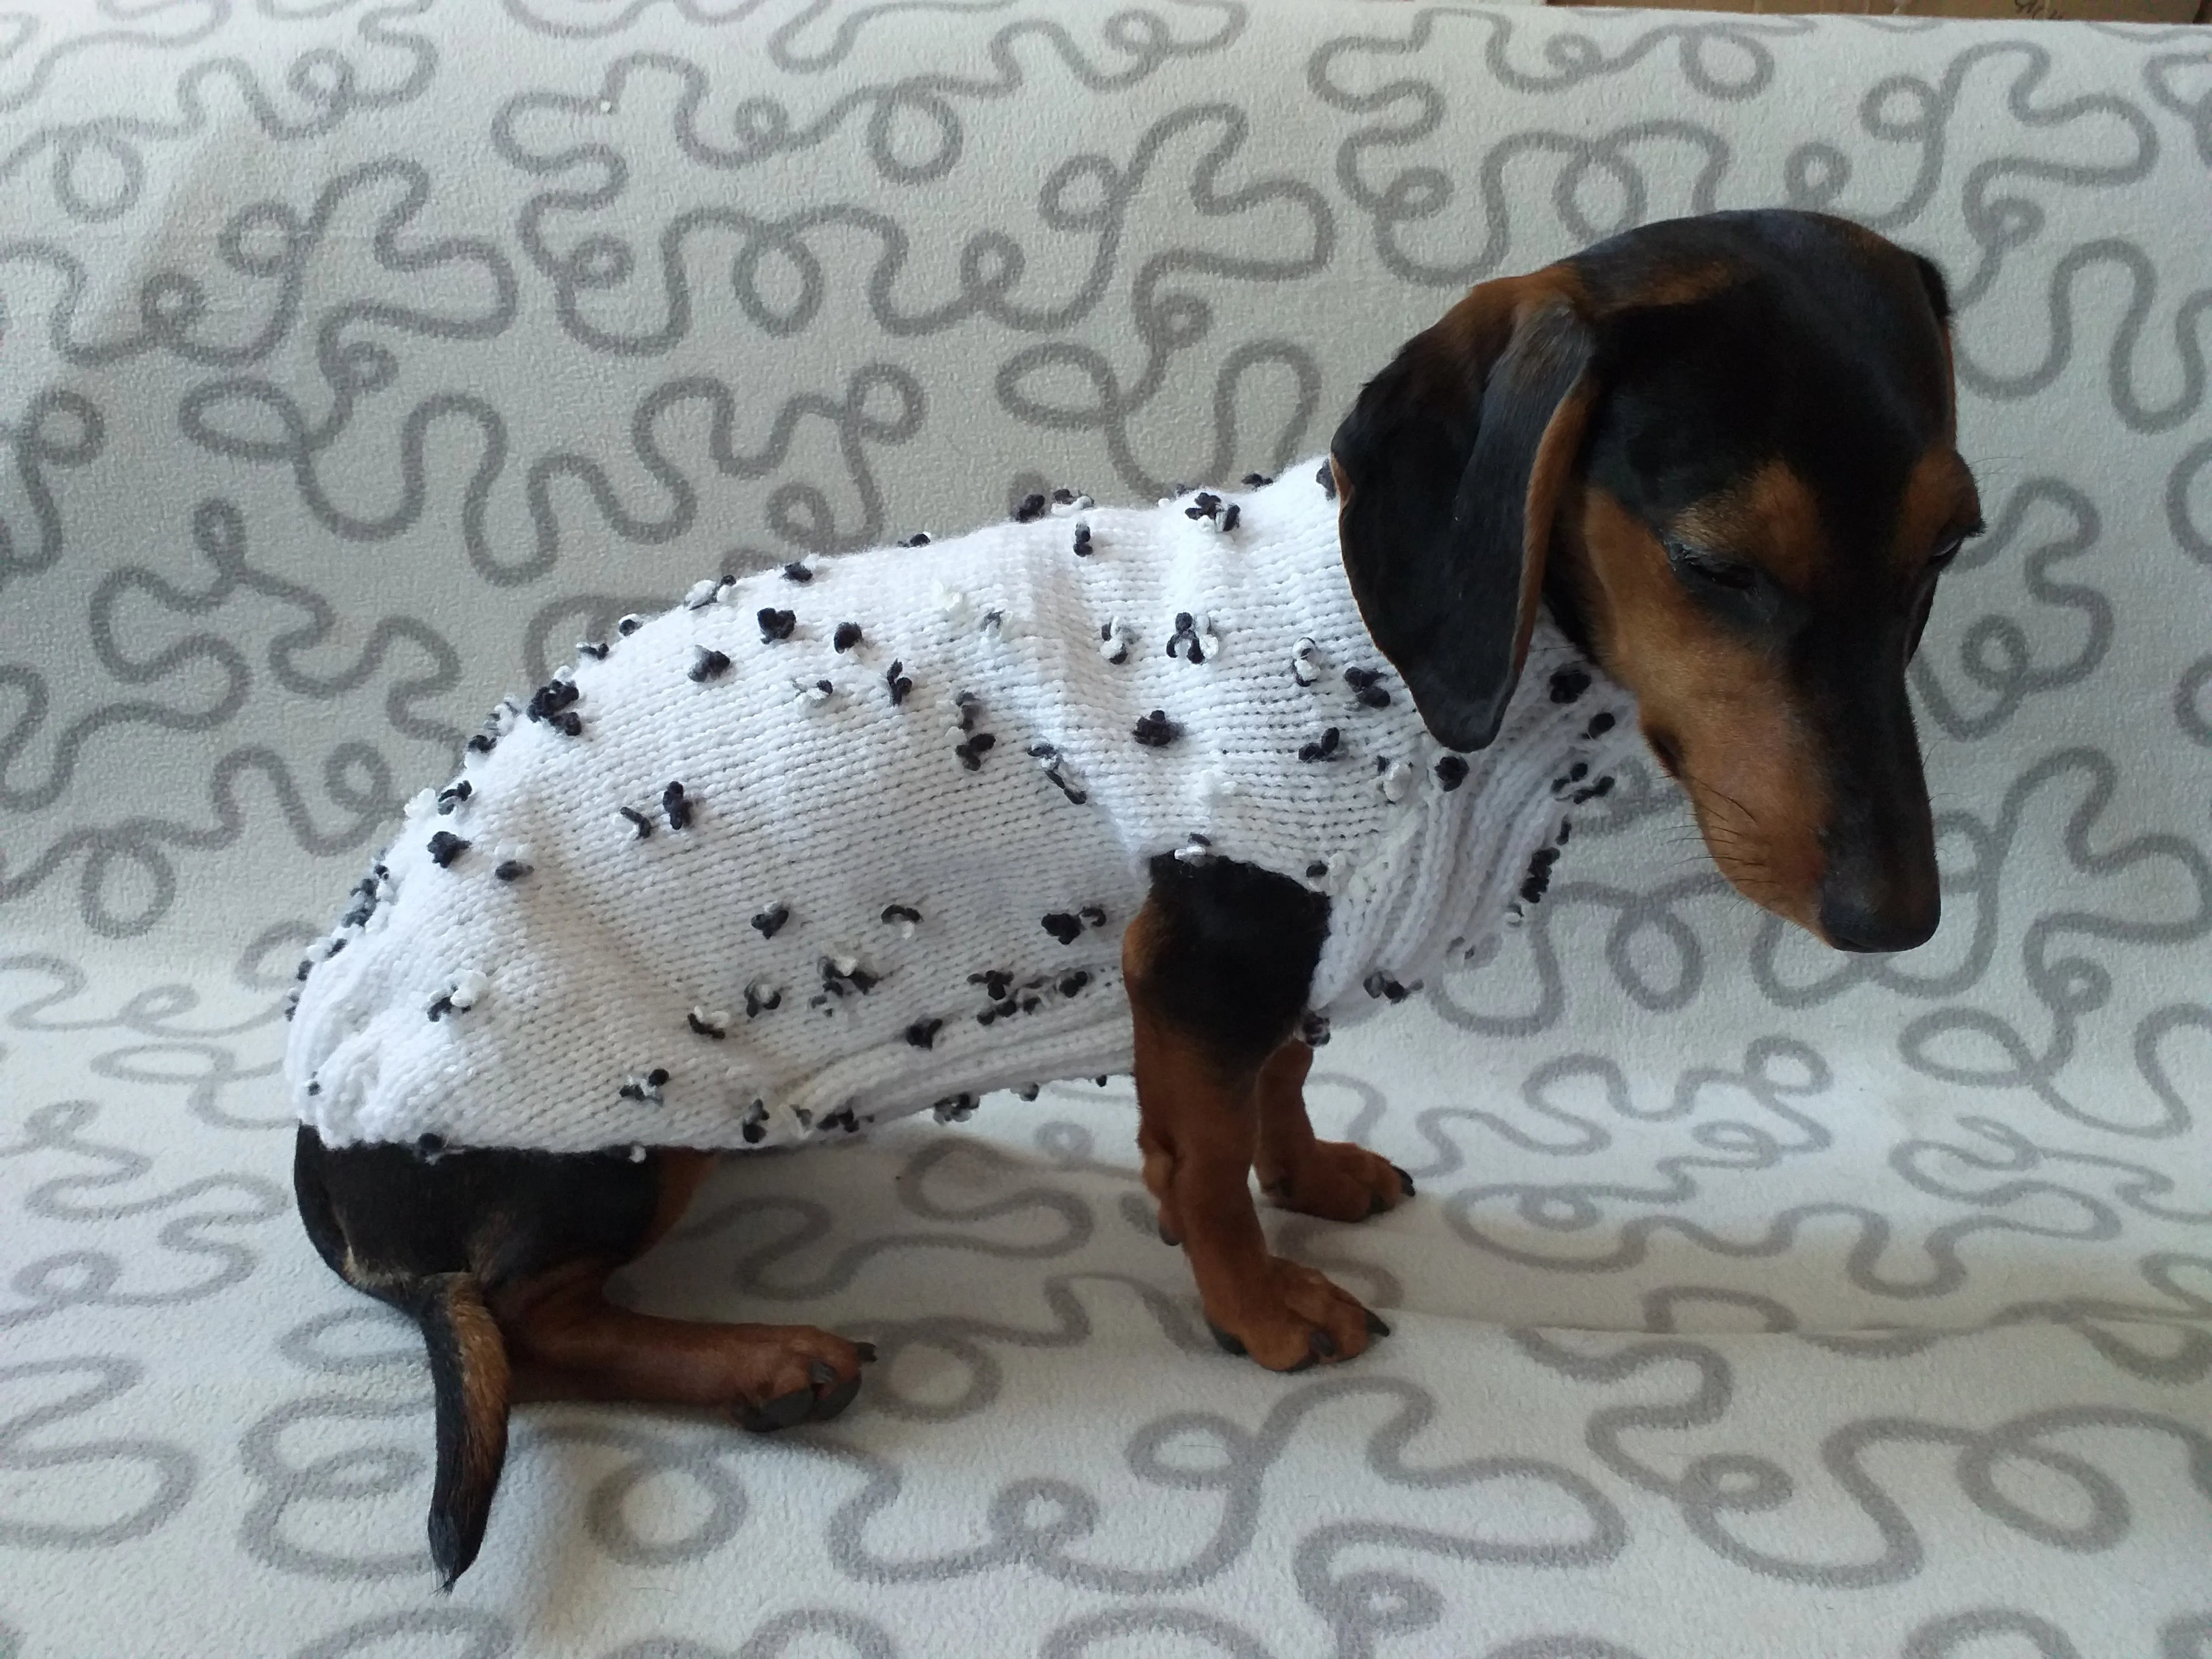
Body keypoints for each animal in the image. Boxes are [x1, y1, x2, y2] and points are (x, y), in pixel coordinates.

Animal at [298, 208, 1991, 1583]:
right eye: (1716, 565)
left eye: (1947, 549)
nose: (1897, 916)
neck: (1405, 666)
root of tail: (325, 1145)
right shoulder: (1209, 942)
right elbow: (1199, 1159)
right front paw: (1261, 1306)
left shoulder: (1293, 938)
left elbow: (1280, 1080)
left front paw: (1310, 1174)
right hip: (616, 1149)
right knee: (527, 1323)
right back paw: (763, 1362)